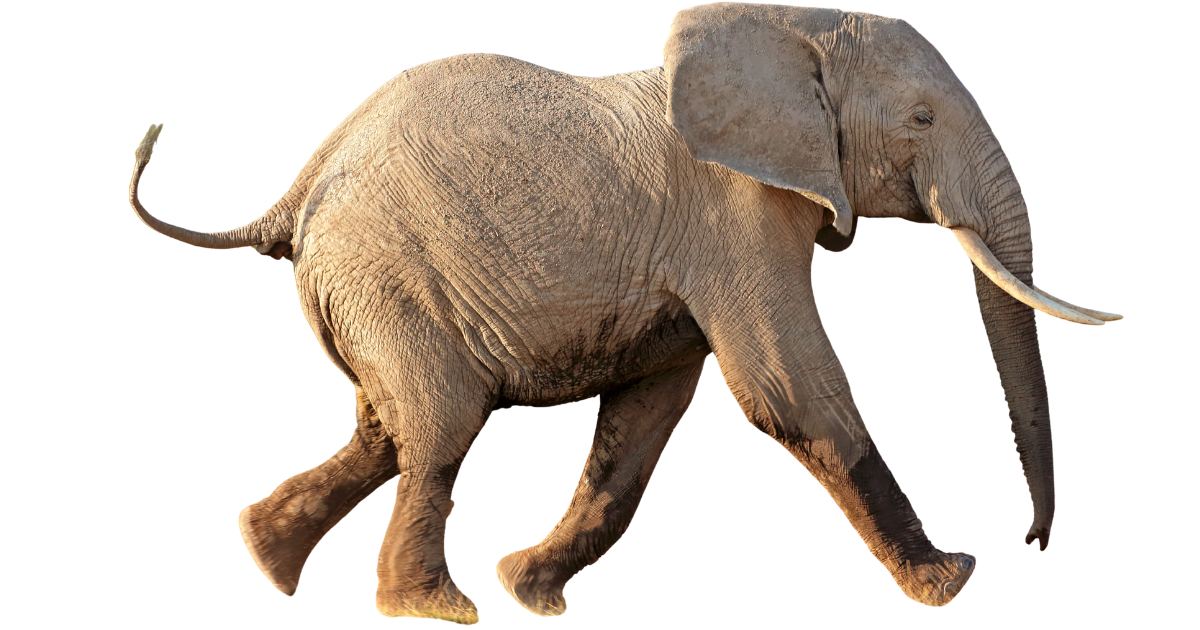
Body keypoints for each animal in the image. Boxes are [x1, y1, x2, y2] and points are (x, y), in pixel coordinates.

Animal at [128, 2, 1119, 626]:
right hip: (386, 273)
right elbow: (785, 386)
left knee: (387, 425)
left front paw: (534, 595)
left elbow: (650, 412)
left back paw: (272, 565)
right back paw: (432, 607)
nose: (1034, 549)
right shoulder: (730, 211)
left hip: (369, 287)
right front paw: (947, 585)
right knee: (440, 421)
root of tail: (296, 195)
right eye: (920, 120)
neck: (797, 27)